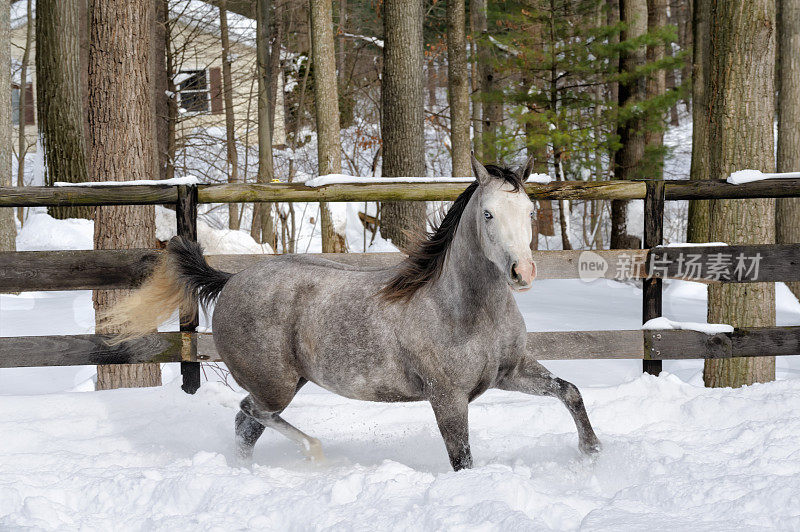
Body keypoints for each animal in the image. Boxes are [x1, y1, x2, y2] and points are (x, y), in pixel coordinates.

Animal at [109, 154, 604, 470]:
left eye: (530, 210)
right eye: (487, 214)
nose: (523, 271)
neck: (464, 309)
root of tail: (230, 281)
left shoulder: (511, 371)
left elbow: (570, 391)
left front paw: (592, 452)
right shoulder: (447, 397)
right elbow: (462, 459)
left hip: (284, 383)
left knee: (244, 424)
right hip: (275, 383)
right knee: (251, 411)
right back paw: (314, 452)